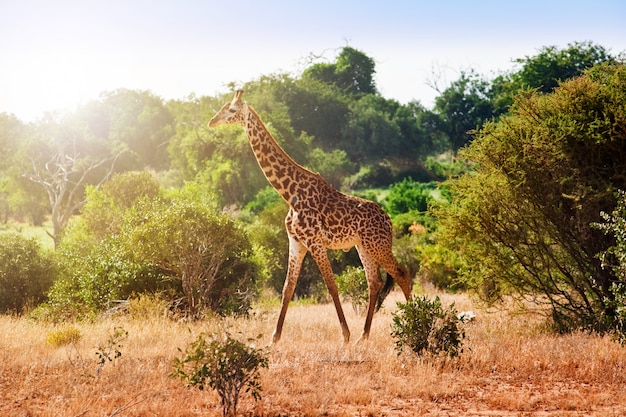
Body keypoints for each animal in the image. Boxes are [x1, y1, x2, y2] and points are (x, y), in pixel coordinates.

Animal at [207, 89, 412, 342]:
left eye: (232, 110)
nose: (212, 121)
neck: (290, 193)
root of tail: (389, 220)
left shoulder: (314, 241)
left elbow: (331, 284)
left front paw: (345, 335)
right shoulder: (296, 241)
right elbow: (288, 287)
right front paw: (275, 338)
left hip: (377, 245)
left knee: (401, 273)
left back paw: (415, 322)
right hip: (363, 246)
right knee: (375, 282)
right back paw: (363, 336)